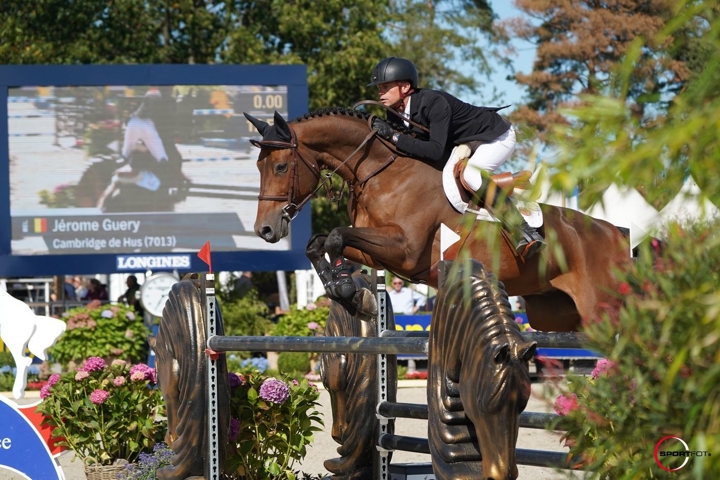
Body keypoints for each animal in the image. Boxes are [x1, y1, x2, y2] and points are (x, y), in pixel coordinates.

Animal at [245, 110, 628, 332]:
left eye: (281, 167)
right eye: (258, 168)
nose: (264, 230)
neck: (382, 171)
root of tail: (617, 233)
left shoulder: (404, 251)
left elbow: (337, 236)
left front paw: (346, 291)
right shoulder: (374, 250)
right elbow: (320, 243)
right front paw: (344, 291)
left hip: (601, 311)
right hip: (558, 314)